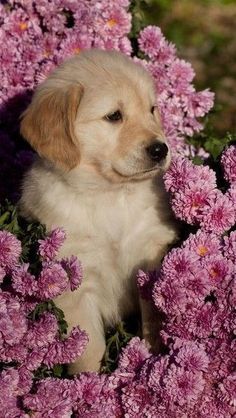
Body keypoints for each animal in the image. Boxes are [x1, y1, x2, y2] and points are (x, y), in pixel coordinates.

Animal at [19, 49, 177, 372]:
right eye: (114, 116)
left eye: (152, 110)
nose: (160, 149)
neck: (109, 194)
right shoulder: (75, 280)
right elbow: (89, 348)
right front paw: (89, 382)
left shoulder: (150, 250)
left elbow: (154, 314)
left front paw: (153, 357)